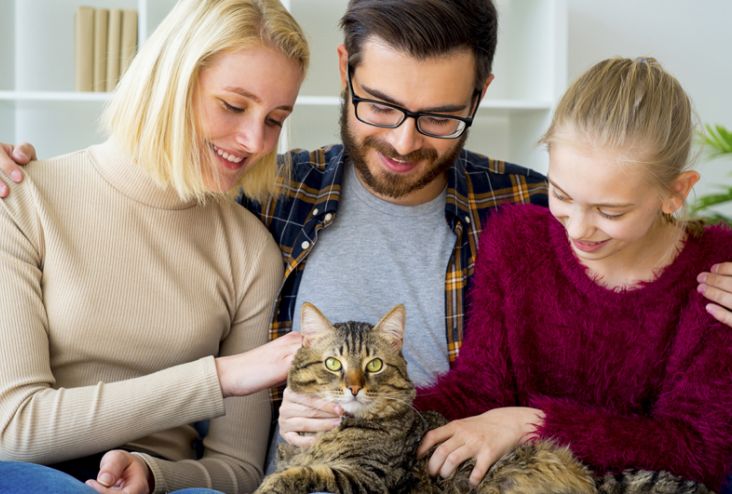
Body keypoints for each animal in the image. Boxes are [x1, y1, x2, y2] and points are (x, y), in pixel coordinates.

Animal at [256, 304, 708, 494]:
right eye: (334, 364)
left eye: (374, 365)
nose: (352, 387)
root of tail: (589, 473)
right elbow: (295, 467)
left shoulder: (369, 479)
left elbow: (307, 474)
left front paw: (271, 486)